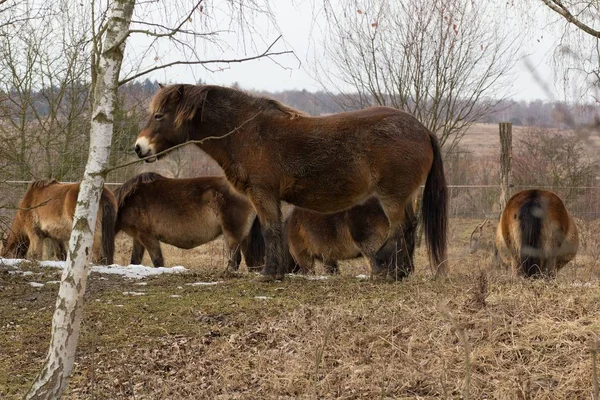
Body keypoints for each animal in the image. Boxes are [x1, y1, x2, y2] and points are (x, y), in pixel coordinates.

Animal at [113, 173, 264, 270]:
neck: (129, 200)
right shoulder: (138, 238)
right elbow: (134, 261)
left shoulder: (147, 236)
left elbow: (158, 261)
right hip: (245, 236)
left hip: (232, 234)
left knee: (235, 260)